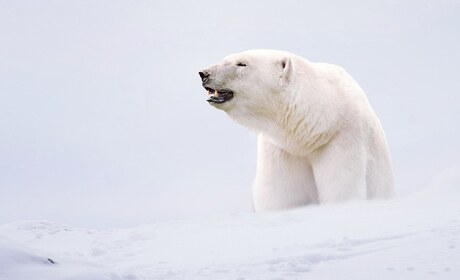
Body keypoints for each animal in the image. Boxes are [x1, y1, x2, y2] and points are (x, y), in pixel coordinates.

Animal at [199, 50, 394, 211]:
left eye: (241, 63)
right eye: (225, 57)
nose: (204, 73)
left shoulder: (342, 139)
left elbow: (341, 186)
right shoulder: (281, 148)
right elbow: (280, 193)